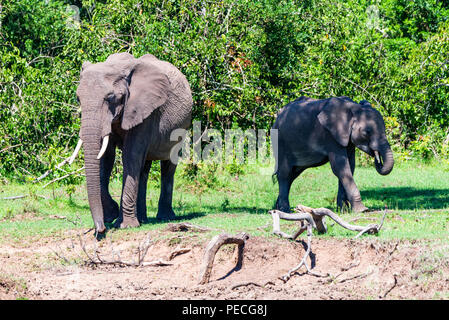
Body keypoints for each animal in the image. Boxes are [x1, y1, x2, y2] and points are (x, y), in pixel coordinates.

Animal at [70, 52, 191, 232]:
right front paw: (111, 216)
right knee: (144, 169)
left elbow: (130, 156)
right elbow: (106, 158)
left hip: (182, 127)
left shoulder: (144, 111)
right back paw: (143, 219)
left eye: (110, 97)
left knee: (168, 165)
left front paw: (124, 225)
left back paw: (165, 217)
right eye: (78, 99)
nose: (100, 230)